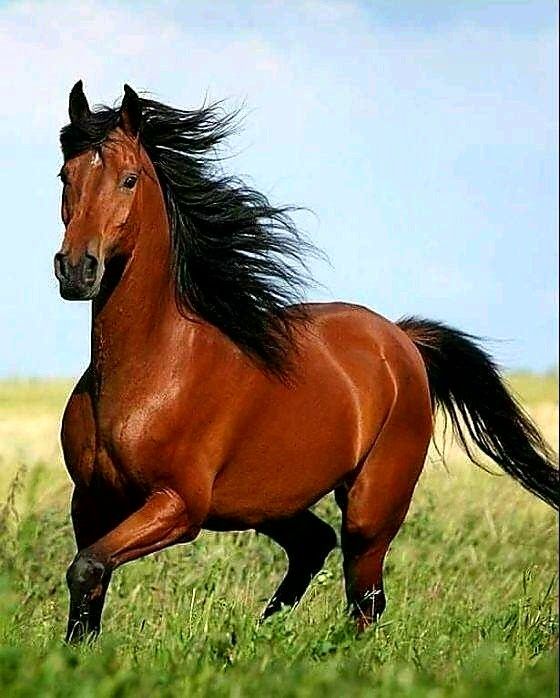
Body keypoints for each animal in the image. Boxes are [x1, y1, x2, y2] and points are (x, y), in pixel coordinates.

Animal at [53, 81, 556, 640]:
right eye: (65, 176)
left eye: (129, 179)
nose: (76, 269)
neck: (148, 372)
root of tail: (400, 339)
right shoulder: (91, 501)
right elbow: (89, 587)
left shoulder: (178, 505)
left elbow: (88, 568)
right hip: (272, 502)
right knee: (316, 547)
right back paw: (265, 632)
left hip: (371, 507)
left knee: (364, 596)